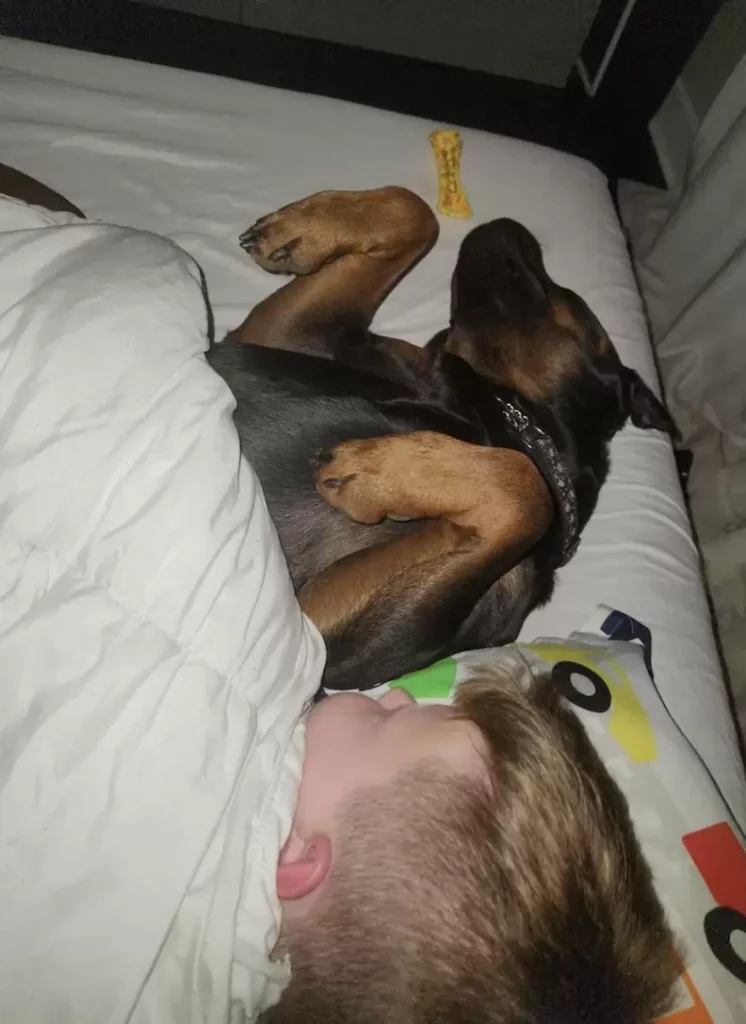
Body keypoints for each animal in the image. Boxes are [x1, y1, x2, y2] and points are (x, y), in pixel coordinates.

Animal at [204, 188, 675, 692]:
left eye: (566, 298)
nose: (511, 225)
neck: (499, 411)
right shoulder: (284, 335)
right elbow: (413, 209)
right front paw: (301, 230)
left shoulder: (312, 630)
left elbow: (525, 490)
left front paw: (379, 471)